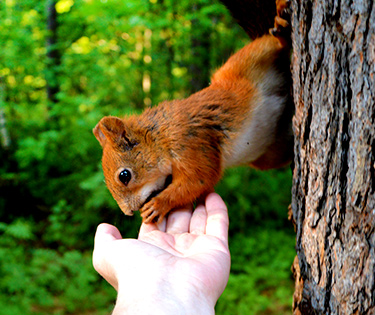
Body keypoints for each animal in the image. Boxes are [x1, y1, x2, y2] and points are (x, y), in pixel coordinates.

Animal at [92, 1, 292, 226]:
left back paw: (281, 27)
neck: (160, 136)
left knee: (273, 43)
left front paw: (158, 204)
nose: (128, 212)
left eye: (124, 175)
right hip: (267, 154)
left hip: (248, 59)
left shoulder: (190, 142)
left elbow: (199, 178)